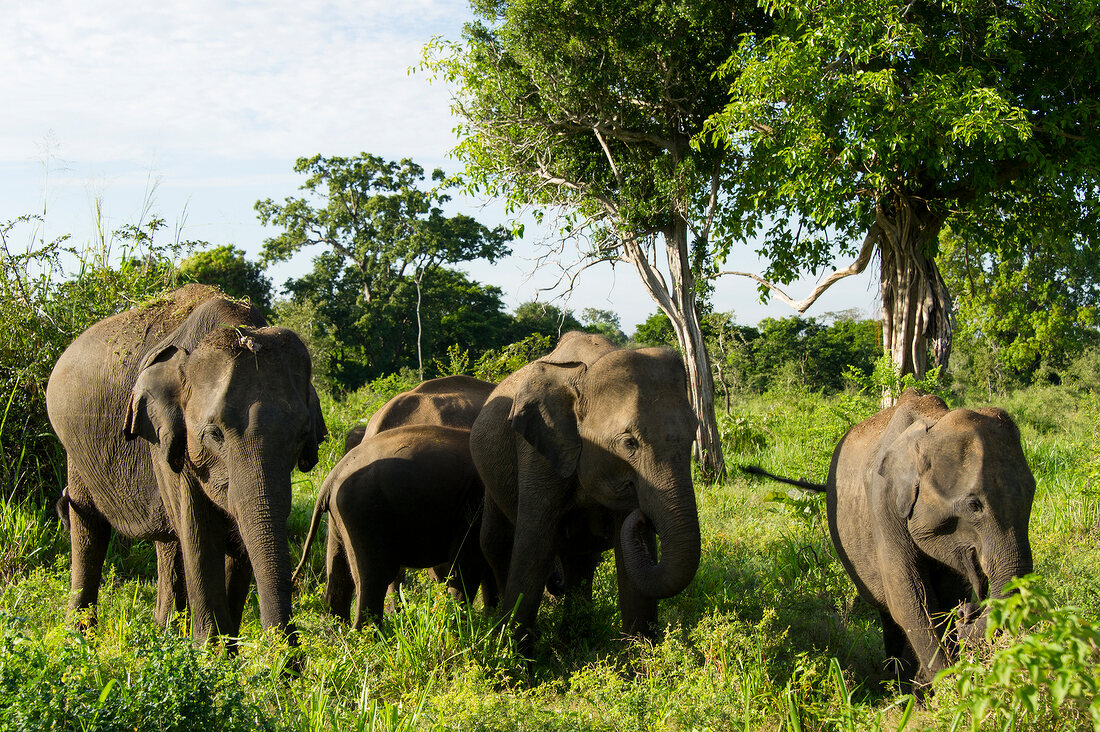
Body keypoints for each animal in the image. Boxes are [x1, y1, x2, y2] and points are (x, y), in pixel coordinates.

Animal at [46, 281, 325, 642]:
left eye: (302, 433)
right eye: (214, 433)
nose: (291, 652)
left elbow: (237, 539)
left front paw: (226, 648)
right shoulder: (163, 436)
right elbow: (199, 532)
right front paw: (211, 651)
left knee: (167, 540)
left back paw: (165, 634)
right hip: (75, 451)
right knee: (89, 525)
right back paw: (80, 637)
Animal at [292, 422, 486, 629]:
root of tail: (332, 476)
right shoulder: (474, 504)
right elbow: (467, 567)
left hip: (340, 516)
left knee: (339, 574)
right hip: (364, 511)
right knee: (375, 579)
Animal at [468, 330, 699, 647]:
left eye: (694, 433)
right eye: (629, 443)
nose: (643, 515)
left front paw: (639, 656)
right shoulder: (538, 451)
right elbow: (533, 544)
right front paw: (516, 654)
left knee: (580, 558)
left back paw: (573, 638)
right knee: (496, 542)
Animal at [743, 387, 1034, 686]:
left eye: (1032, 495)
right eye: (974, 505)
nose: (969, 614)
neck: (930, 427)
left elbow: (944, 597)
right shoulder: (883, 504)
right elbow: (910, 602)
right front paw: (947, 687)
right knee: (889, 613)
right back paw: (900, 684)